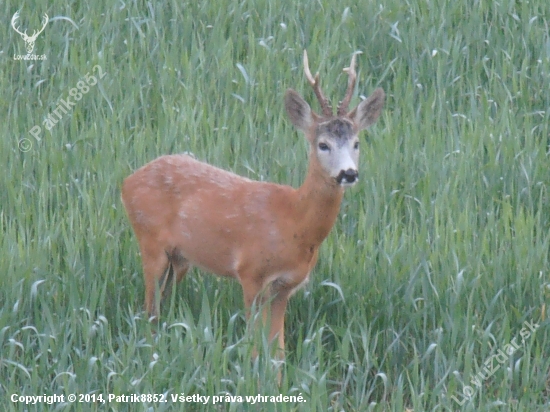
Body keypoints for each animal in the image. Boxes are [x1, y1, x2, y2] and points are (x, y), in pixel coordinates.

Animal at [123, 51, 386, 358]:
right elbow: (253, 345)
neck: (295, 222)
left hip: (180, 258)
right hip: (150, 242)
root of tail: (126, 182)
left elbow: (278, 349)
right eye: (323, 144)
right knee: (149, 311)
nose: (348, 173)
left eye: (356, 143)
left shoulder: (285, 285)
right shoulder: (250, 271)